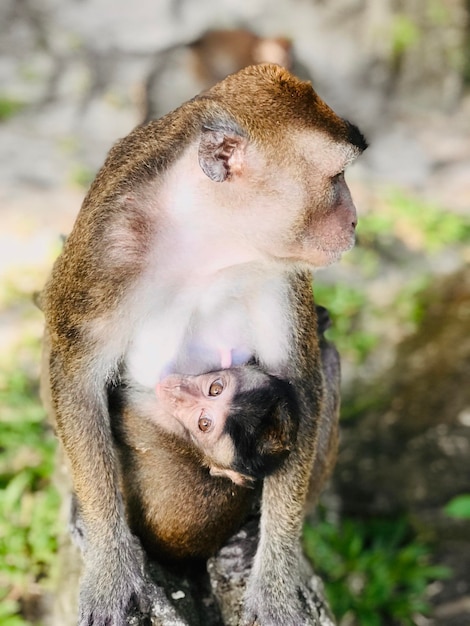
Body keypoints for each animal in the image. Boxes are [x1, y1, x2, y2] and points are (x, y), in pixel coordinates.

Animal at [41, 64, 368, 624]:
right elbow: (74, 370)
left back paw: (248, 539)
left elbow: (301, 379)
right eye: (334, 179)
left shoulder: (282, 271)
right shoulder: (109, 244)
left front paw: (276, 579)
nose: (353, 219)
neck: (211, 235)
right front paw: (111, 566)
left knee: (326, 356)